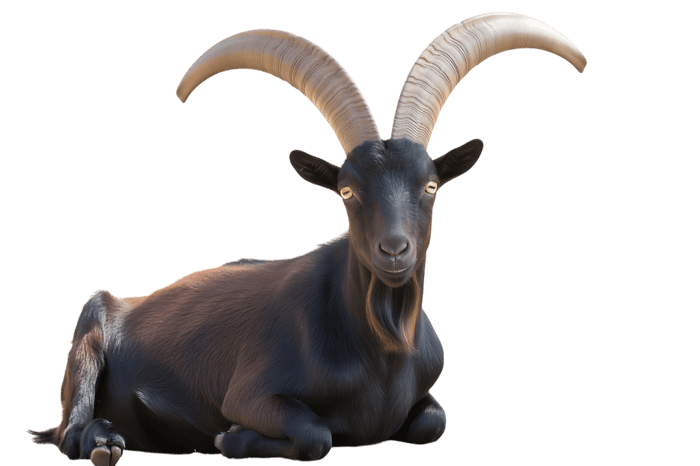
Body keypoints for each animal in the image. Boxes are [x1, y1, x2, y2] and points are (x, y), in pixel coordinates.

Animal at [28, 12, 586, 465]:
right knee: (70, 434)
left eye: (430, 185)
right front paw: (231, 439)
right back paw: (104, 442)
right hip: (89, 333)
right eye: (346, 190)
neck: (381, 351)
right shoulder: (249, 394)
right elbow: (316, 434)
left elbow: (434, 421)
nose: (394, 250)